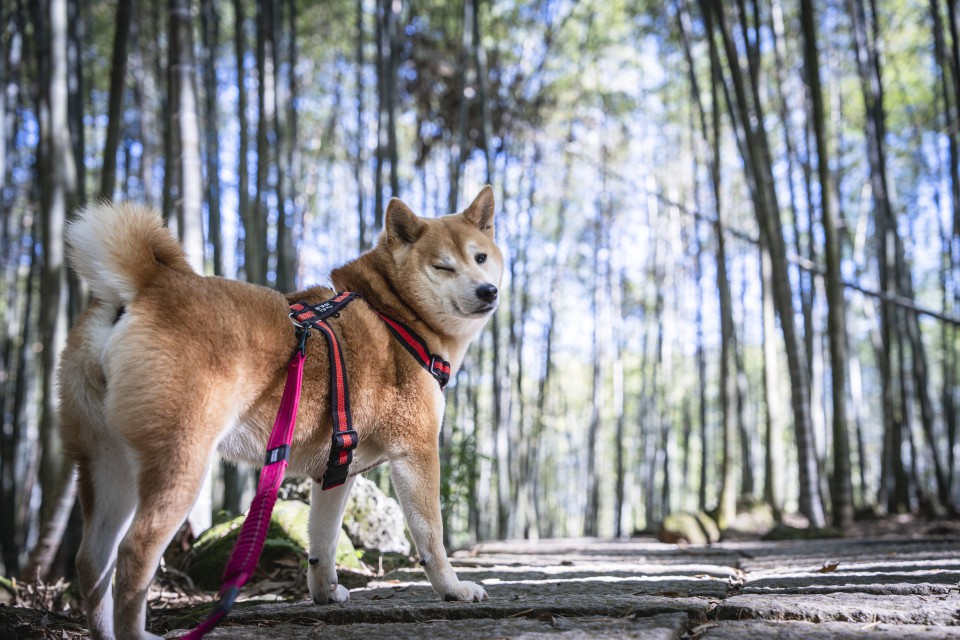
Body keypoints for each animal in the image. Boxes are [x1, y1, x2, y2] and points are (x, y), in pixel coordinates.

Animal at [60, 188, 502, 636]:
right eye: (443, 266)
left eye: (480, 257)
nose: (488, 291)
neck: (394, 315)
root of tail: (148, 284)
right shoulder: (417, 451)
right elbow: (432, 535)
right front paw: (453, 588)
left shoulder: (337, 469)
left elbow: (323, 541)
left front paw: (325, 592)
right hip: (180, 464)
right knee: (134, 553)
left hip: (107, 464)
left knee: (92, 560)